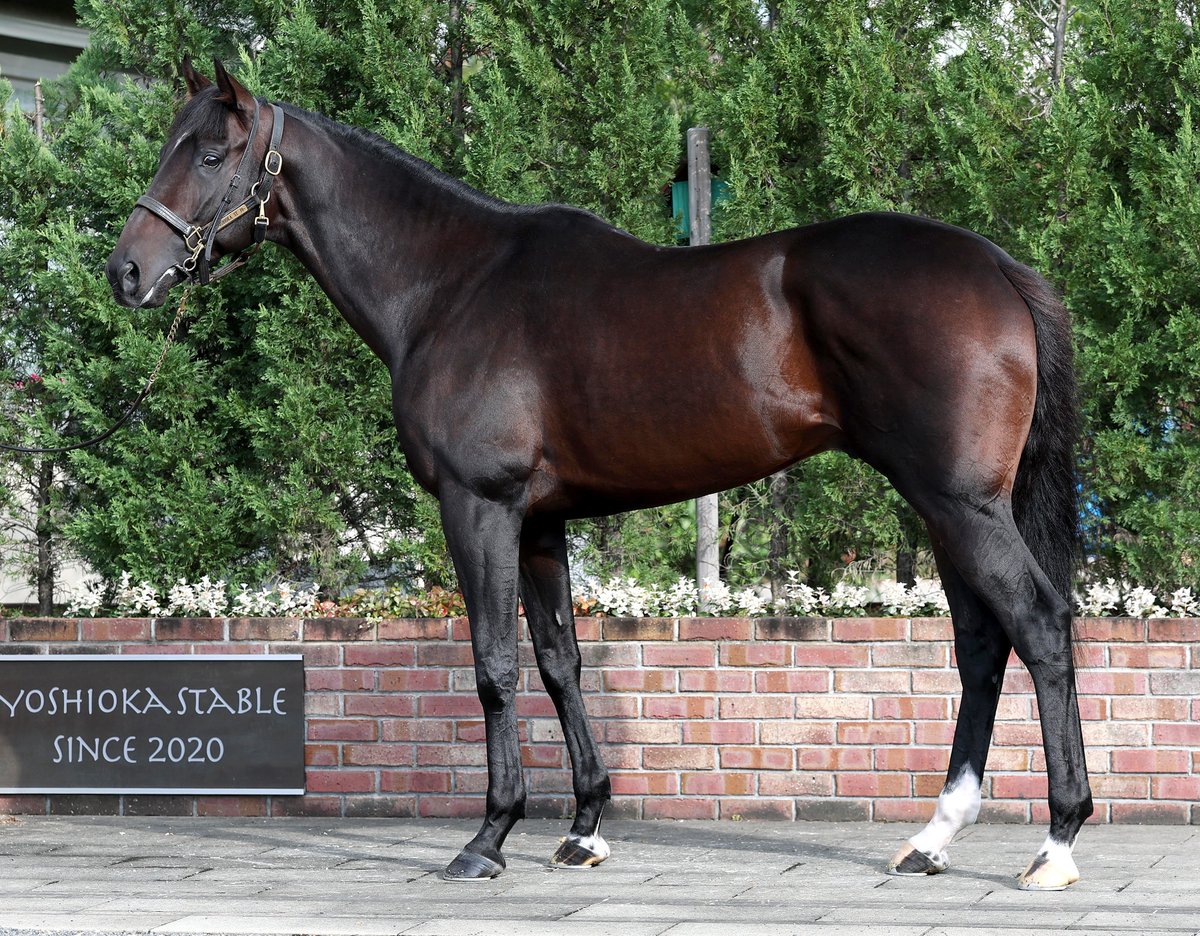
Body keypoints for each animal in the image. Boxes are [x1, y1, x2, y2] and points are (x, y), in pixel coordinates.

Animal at [107, 60, 1092, 890]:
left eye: (208, 152)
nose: (127, 272)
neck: (448, 286)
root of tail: (996, 266)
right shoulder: (541, 522)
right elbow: (559, 663)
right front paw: (582, 828)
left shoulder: (479, 507)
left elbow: (495, 666)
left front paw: (487, 838)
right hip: (947, 506)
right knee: (981, 644)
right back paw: (934, 838)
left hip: (960, 504)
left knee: (1039, 625)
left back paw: (1056, 841)